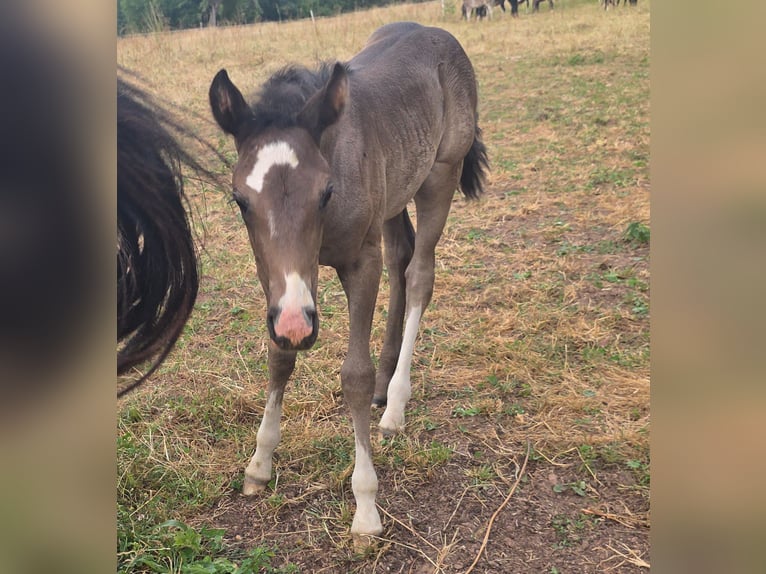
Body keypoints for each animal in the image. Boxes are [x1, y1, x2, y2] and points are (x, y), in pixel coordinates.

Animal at [209, 21, 489, 540]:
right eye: (240, 200)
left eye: (326, 192)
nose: (297, 325)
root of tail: (435, 31)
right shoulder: (280, 280)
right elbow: (279, 356)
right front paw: (259, 463)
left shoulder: (359, 261)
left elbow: (353, 375)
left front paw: (366, 507)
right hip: (395, 193)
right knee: (401, 256)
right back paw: (386, 383)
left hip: (440, 173)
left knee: (419, 273)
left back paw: (395, 403)